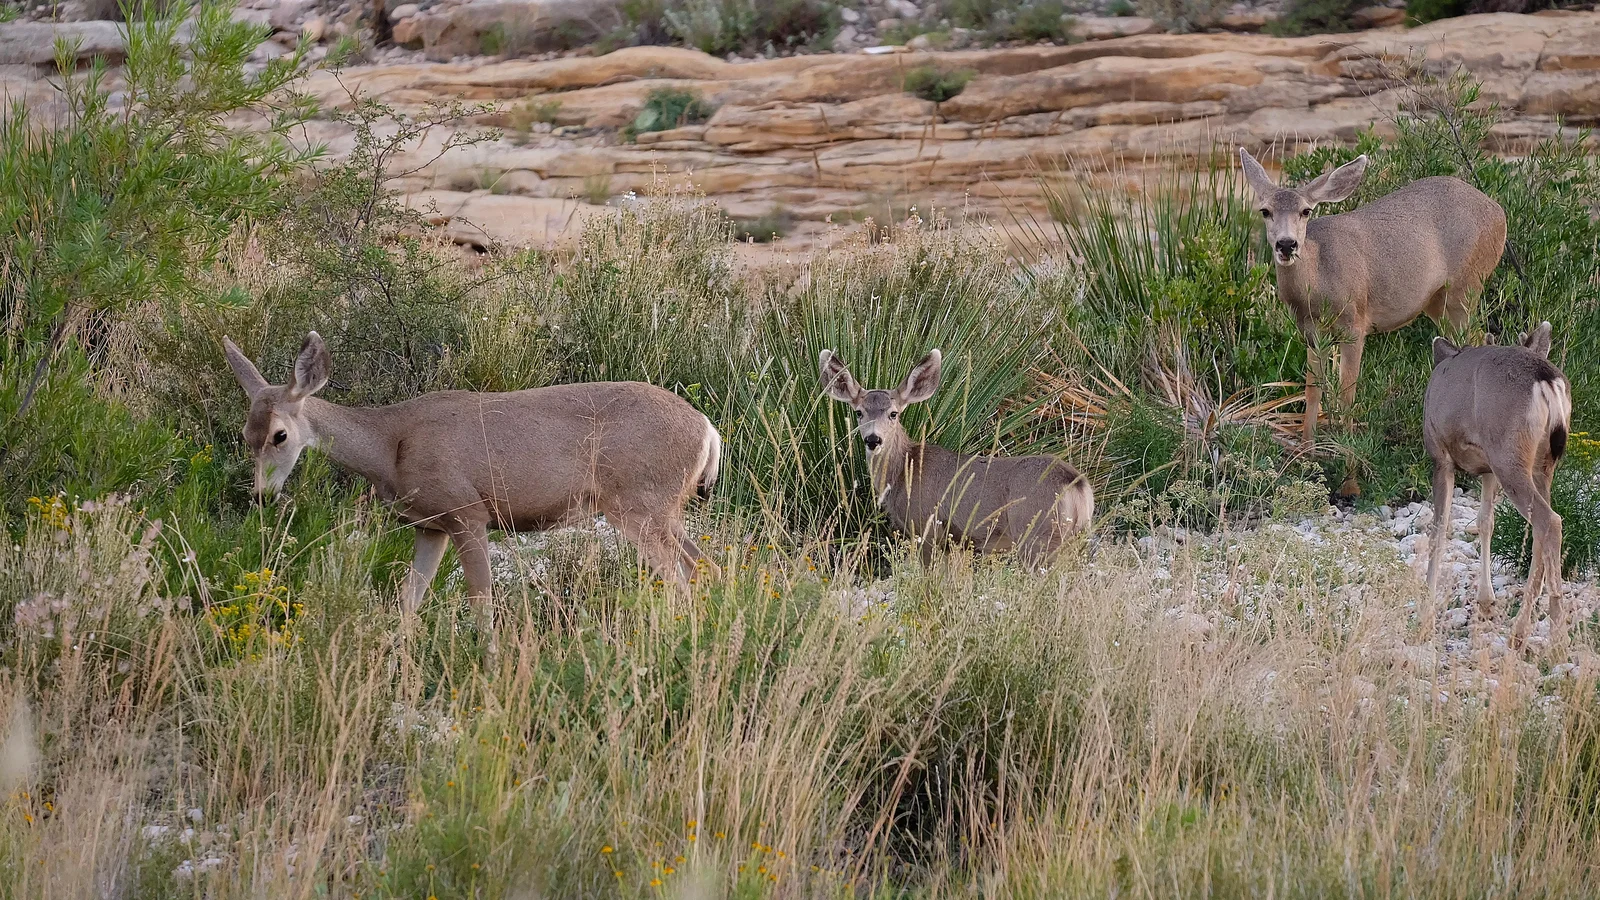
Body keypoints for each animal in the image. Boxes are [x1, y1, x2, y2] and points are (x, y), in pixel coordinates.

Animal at [223, 332, 723, 651]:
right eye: (245, 435)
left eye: (280, 435)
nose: (261, 496)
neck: (391, 445)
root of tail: (708, 429)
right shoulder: (430, 526)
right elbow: (408, 602)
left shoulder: (467, 512)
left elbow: (481, 605)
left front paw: (491, 668)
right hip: (663, 511)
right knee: (707, 568)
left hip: (639, 504)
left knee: (681, 579)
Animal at [818, 349, 1093, 568]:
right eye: (859, 412)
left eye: (893, 413)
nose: (873, 439)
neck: (904, 471)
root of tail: (1077, 484)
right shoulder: (953, 544)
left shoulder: (925, 527)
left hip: (1036, 534)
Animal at [1238, 148, 1508, 496]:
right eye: (1265, 211)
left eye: (1305, 211)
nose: (1286, 244)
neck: (1319, 279)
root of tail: (1499, 211)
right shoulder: (1311, 331)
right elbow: (1312, 390)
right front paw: (1305, 461)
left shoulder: (1354, 323)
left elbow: (1347, 394)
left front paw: (1351, 482)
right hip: (1438, 302)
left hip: (1466, 285)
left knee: (1477, 338)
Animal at [1424, 322, 1571, 646]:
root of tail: (1547, 379)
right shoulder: (1487, 468)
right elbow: (1485, 521)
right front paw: (1486, 602)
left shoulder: (1440, 455)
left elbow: (1439, 527)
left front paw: (1425, 609)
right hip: (1540, 464)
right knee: (1540, 528)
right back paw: (1522, 630)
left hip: (1508, 456)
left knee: (1550, 522)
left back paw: (1554, 636)